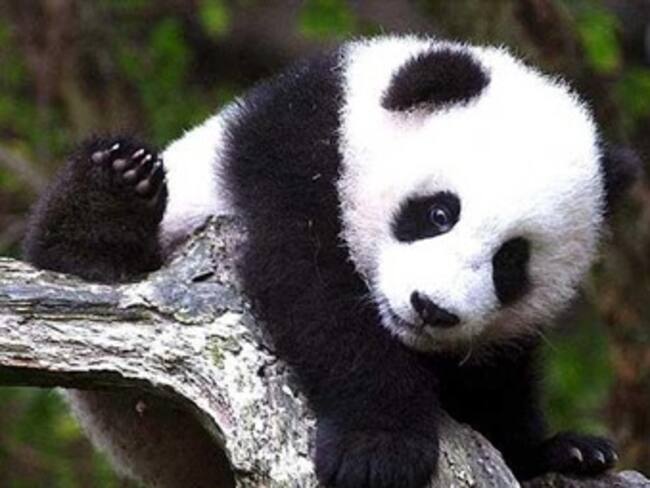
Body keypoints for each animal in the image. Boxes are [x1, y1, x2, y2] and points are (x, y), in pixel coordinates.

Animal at [24, 35, 639, 488]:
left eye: (511, 262)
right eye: (439, 213)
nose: (431, 308)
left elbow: (499, 376)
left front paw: (562, 451)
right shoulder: (296, 154)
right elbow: (315, 293)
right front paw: (380, 449)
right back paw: (113, 193)